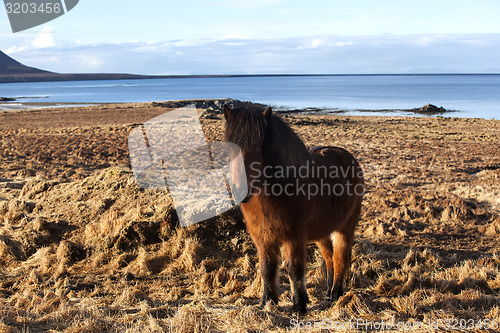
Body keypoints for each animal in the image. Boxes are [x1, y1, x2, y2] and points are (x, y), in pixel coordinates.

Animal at [224, 104, 364, 314]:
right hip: (322, 232)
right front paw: (267, 302)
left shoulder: (294, 236)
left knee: (340, 258)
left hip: (345, 228)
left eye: (258, 147)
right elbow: (267, 269)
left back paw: (336, 294)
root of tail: (347, 156)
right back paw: (328, 292)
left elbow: (294, 269)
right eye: (229, 148)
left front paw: (299, 305)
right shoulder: (263, 238)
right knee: (329, 258)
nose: (241, 191)